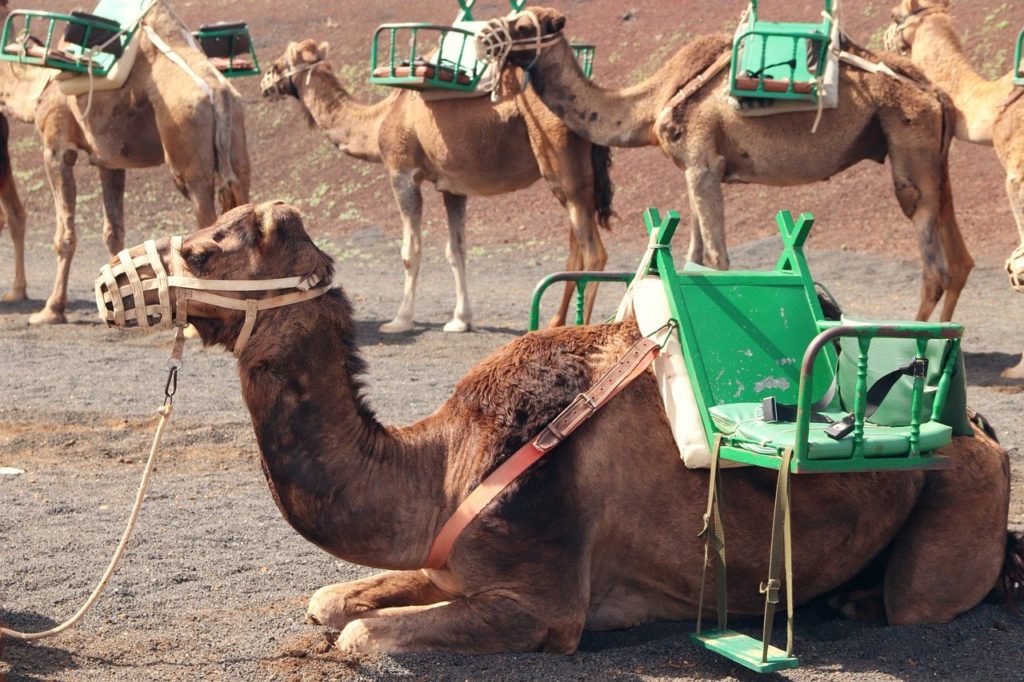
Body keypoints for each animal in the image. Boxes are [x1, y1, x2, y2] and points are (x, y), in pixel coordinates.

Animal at [0, 0, 249, 323]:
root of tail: (218, 92)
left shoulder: (56, 148)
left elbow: (64, 236)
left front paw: (51, 309)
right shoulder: (110, 161)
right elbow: (114, 233)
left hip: (188, 153)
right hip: (238, 143)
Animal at [97, 201, 1024, 655]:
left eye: (207, 250)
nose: (111, 286)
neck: (443, 463)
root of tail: (978, 430)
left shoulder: (543, 601)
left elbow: (359, 635)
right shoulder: (453, 561)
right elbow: (331, 599)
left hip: (960, 506)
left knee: (923, 597)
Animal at [264, 39, 610, 331]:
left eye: (281, 62)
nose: (265, 82)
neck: (380, 120)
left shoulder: (402, 172)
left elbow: (411, 250)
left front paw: (400, 320)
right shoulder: (453, 187)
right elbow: (456, 249)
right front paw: (460, 320)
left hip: (559, 162)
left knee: (594, 253)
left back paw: (581, 327)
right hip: (578, 177)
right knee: (577, 247)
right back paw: (556, 322)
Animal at [479, 6, 974, 323]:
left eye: (522, 25)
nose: (484, 37)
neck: (650, 105)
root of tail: (935, 92)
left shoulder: (701, 161)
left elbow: (716, 258)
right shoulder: (701, 169)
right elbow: (693, 256)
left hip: (909, 145)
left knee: (934, 261)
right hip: (935, 156)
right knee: (958, 255)